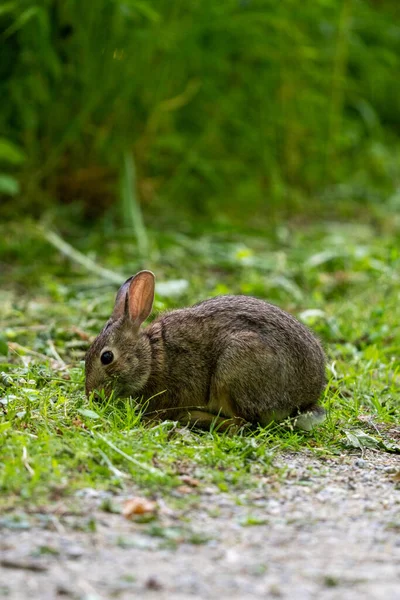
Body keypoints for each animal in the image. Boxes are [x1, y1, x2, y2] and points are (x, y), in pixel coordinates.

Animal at [84, 270, 324, 428]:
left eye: (107, 357)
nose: (91, 396)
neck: (152, 357)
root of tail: (304, 400)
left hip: (233, 369)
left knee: (240, 423)